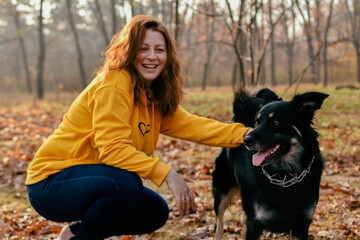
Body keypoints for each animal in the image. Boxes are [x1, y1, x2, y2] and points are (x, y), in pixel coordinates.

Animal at [212, 88, 328, 240]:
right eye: (257, 121)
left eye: (276, 122)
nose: (246, 140)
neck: (285, 175)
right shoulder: (254, 223)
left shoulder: (302, 224)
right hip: (221, 194)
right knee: (219, 224)